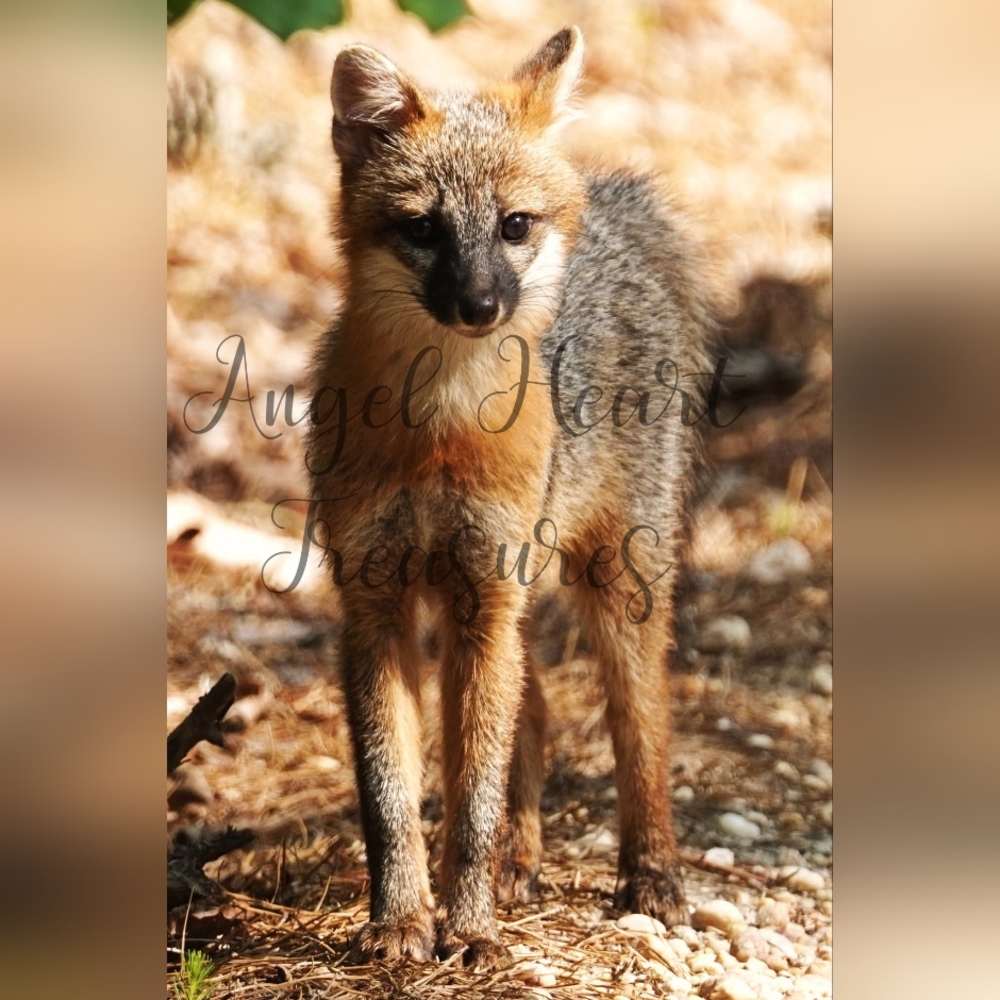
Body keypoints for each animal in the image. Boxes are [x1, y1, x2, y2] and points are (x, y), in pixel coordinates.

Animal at [307, 27, 712, 970]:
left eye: (513, 226)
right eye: (424, 230)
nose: (480, 304)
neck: (438, 429)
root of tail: (617, 215)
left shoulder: (484, 588)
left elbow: (473, 791)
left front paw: (470, 928)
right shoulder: (376, 600)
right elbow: (392, 793)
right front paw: (401, 922)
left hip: (615, 593)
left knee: (641, 728)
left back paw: (652, 875)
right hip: (506, 604)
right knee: (532, 718)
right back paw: (520, 865)